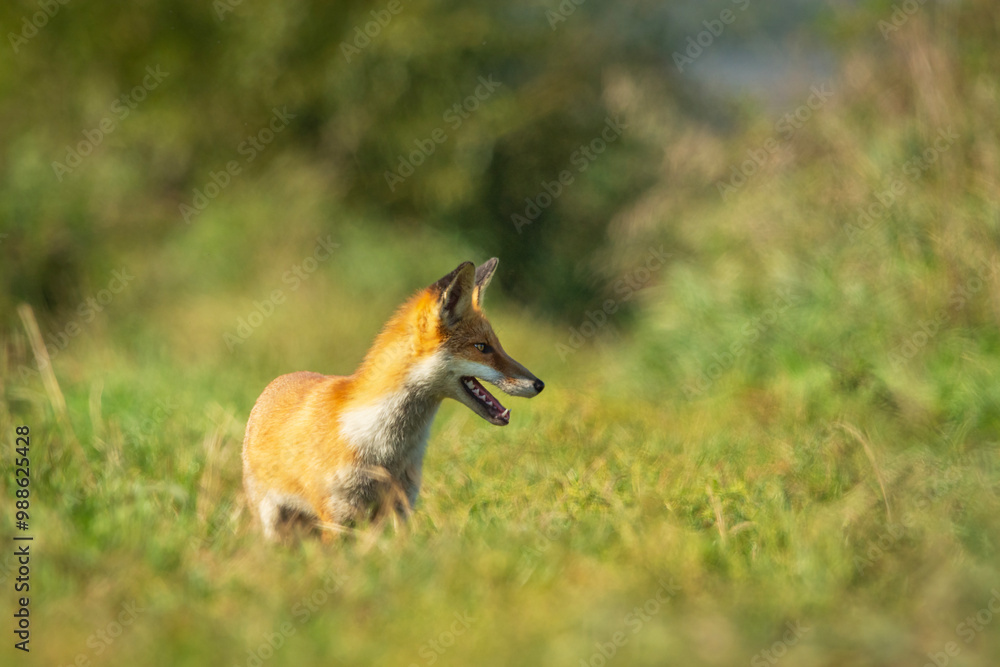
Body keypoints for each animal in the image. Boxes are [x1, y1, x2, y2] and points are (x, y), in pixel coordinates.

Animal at [242, 258, 544, 541]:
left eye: (498, 346)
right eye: (482, 347)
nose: (539, 384)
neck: (386, 449)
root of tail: (278, 381)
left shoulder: (400, 508)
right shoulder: (337, 516)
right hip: (274, 523)